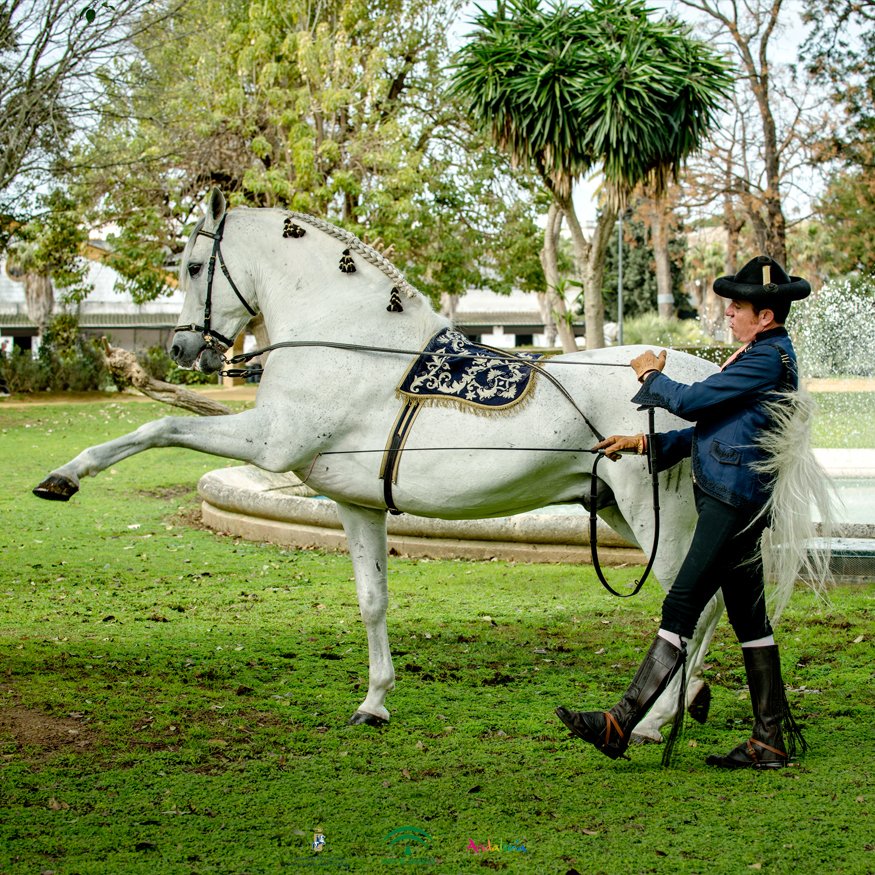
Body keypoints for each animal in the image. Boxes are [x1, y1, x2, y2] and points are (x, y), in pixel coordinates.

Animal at [34, 188, 724, 742]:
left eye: (194, 265)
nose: (182, 349)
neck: (346, 338)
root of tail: (707, 379)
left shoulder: (268, 443)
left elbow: (160, 426)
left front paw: (64, 477)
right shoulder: (356, 504)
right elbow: (373, 600)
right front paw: (374, 703)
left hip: (655, 516)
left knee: (693, 607)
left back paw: (658, 721)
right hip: (617, 513)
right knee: (706, 604)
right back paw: (686, 703)